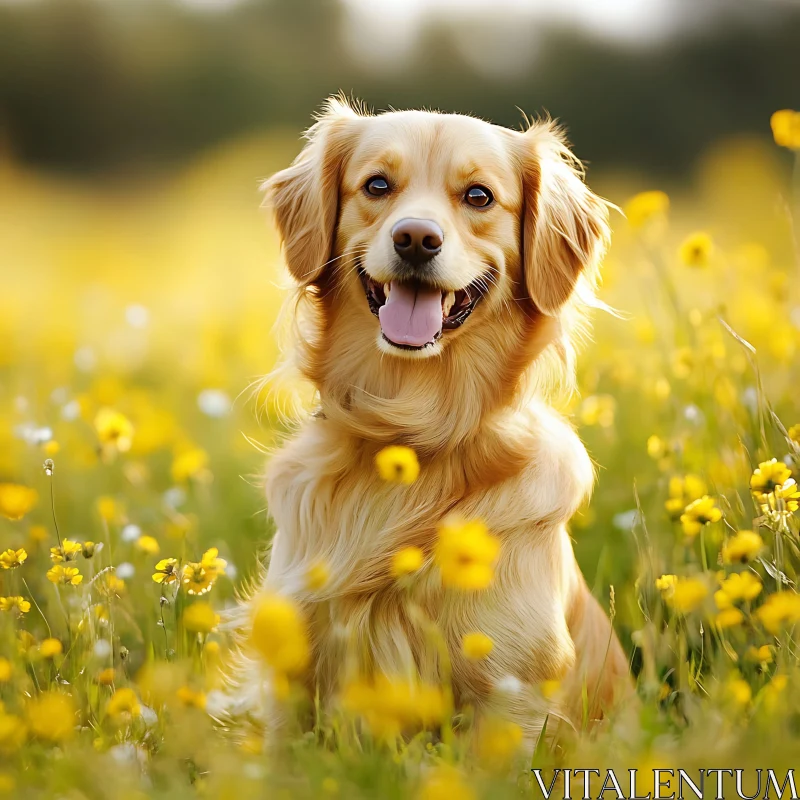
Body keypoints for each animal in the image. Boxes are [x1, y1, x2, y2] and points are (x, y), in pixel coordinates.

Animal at [222, 98, 628, 744]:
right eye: (376, 185)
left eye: (480, 196)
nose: (415, 238)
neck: (411, 433)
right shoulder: (295, 678)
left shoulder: (510, 692)